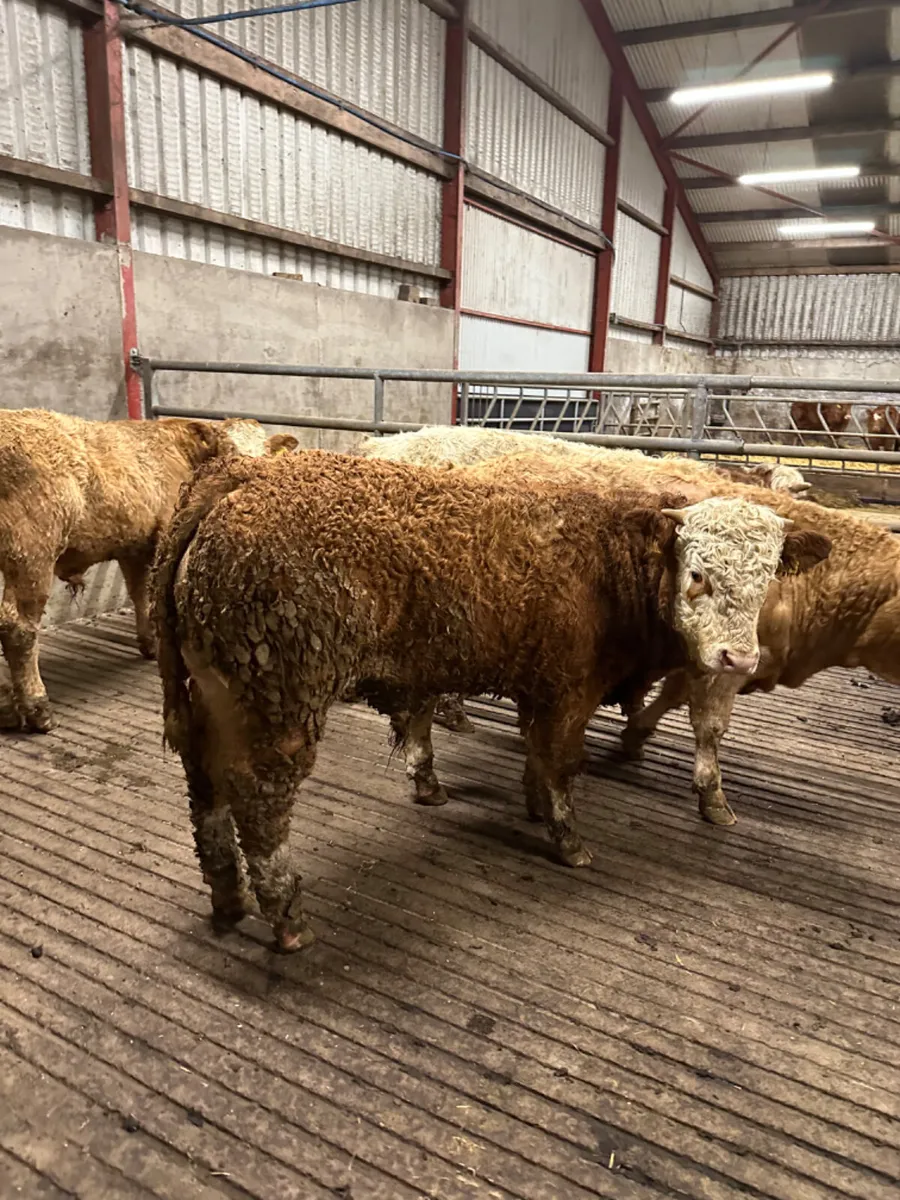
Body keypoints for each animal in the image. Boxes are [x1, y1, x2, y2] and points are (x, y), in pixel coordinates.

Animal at [0, 409, 297, 733]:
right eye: (227, 451)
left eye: (265, 454)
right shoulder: (165, 534)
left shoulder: (134, 545)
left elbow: (139, 592)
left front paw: (149, 643)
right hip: (33, 550)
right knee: (19, 627)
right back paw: (38, 709)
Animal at [152, 449, 824, 951]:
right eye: (698, 575)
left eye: (768, 578)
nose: (739, 659)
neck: (608, 561)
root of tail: (241, 475)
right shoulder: (570, 689)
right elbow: (561, 765)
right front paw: (568, 841)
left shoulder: (540, 686)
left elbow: (535, 758)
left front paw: (532, 807)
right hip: (278, 703)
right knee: (259, 801)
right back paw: (285, 917)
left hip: (210, 697)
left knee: (205, 787)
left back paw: (228, 898)